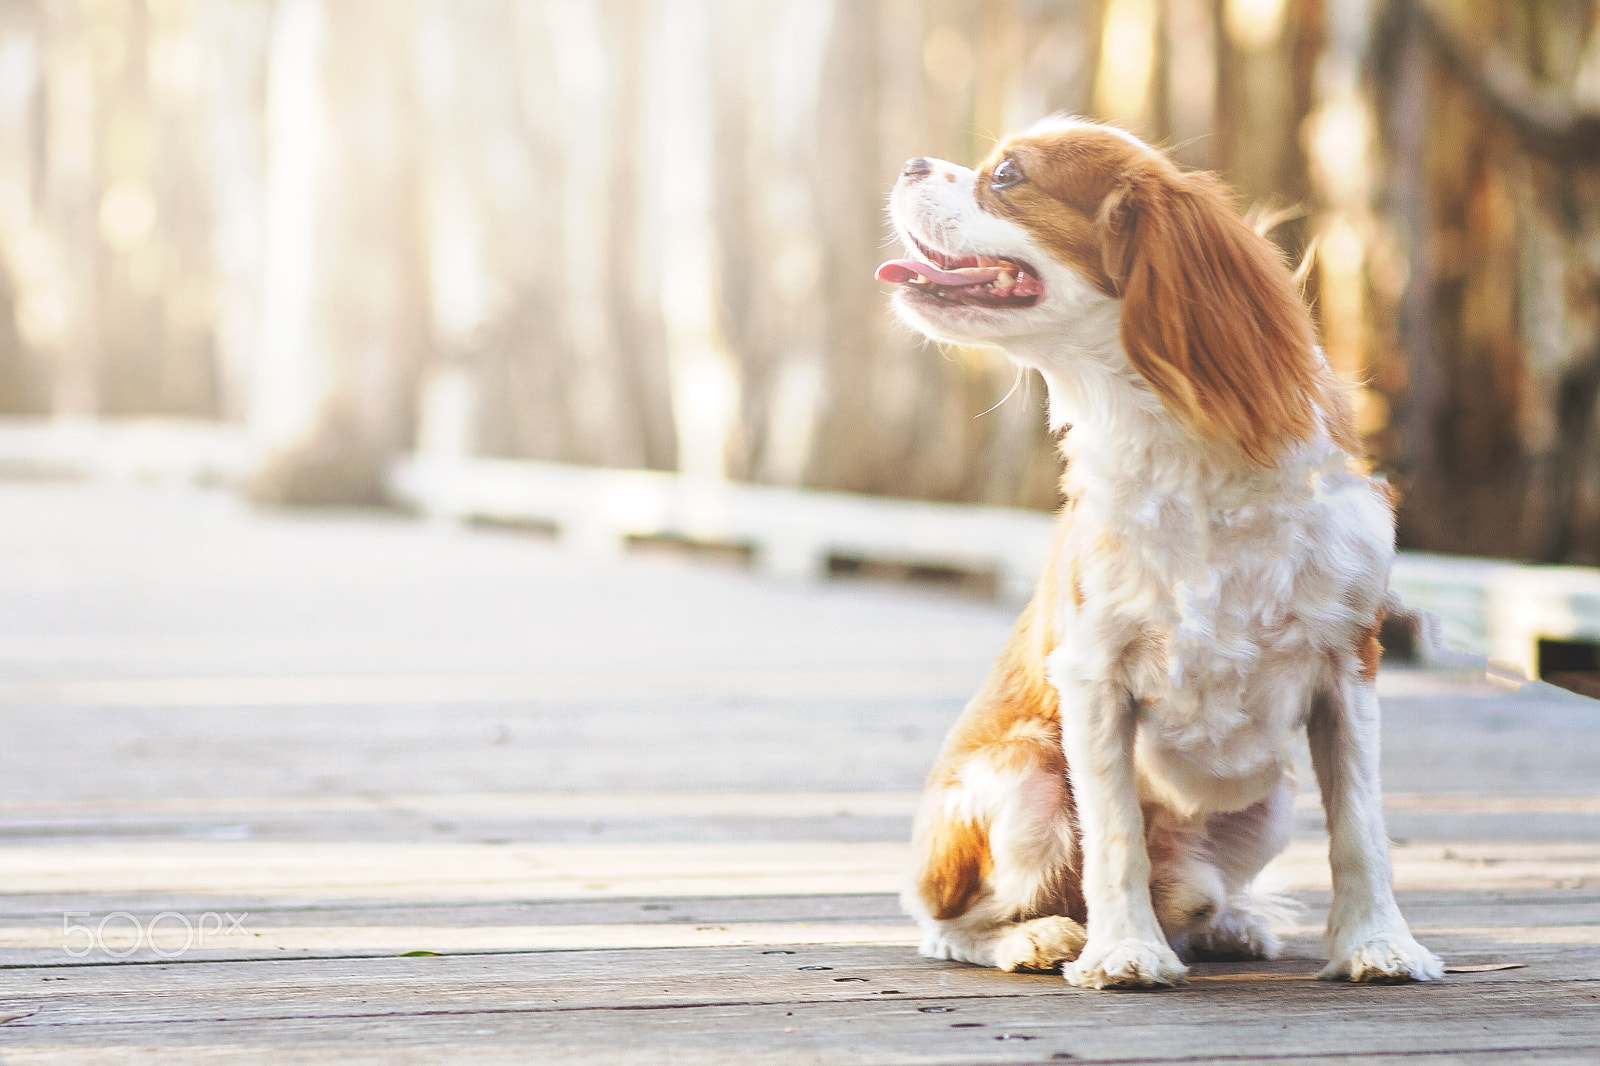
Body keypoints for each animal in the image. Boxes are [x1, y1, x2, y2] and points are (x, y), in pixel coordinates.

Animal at [883, 118, 1446, 985]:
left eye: (1007, 176)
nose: (911, 161)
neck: (1183, 449)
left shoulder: (1349, 667)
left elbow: (1361, 828)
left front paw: (1377, 943)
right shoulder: (1094, 679)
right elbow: (1115, 836)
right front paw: (1124, 952)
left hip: (1267, 800)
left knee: (1196, 895)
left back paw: (1225, 924)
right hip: (1021, 776)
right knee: (950, 924)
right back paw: (1039, 938)